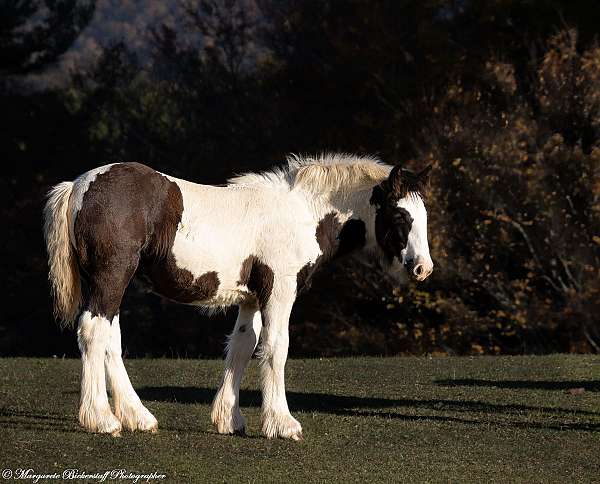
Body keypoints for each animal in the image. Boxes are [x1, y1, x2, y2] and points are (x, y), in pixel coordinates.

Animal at [44, 153, 434, 440]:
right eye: (401, 216)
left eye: (424, 215)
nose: (423, 268)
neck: (300, 214)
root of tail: (77, 187)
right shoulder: (279, 290)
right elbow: (276, 348)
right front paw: (282, 424)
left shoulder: (252, 299)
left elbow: (245, 346)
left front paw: (229, 419)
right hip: (111, 277)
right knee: (93, 331)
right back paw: (101, 419)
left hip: (113, 284)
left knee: (110, 338)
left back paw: (138, 417)